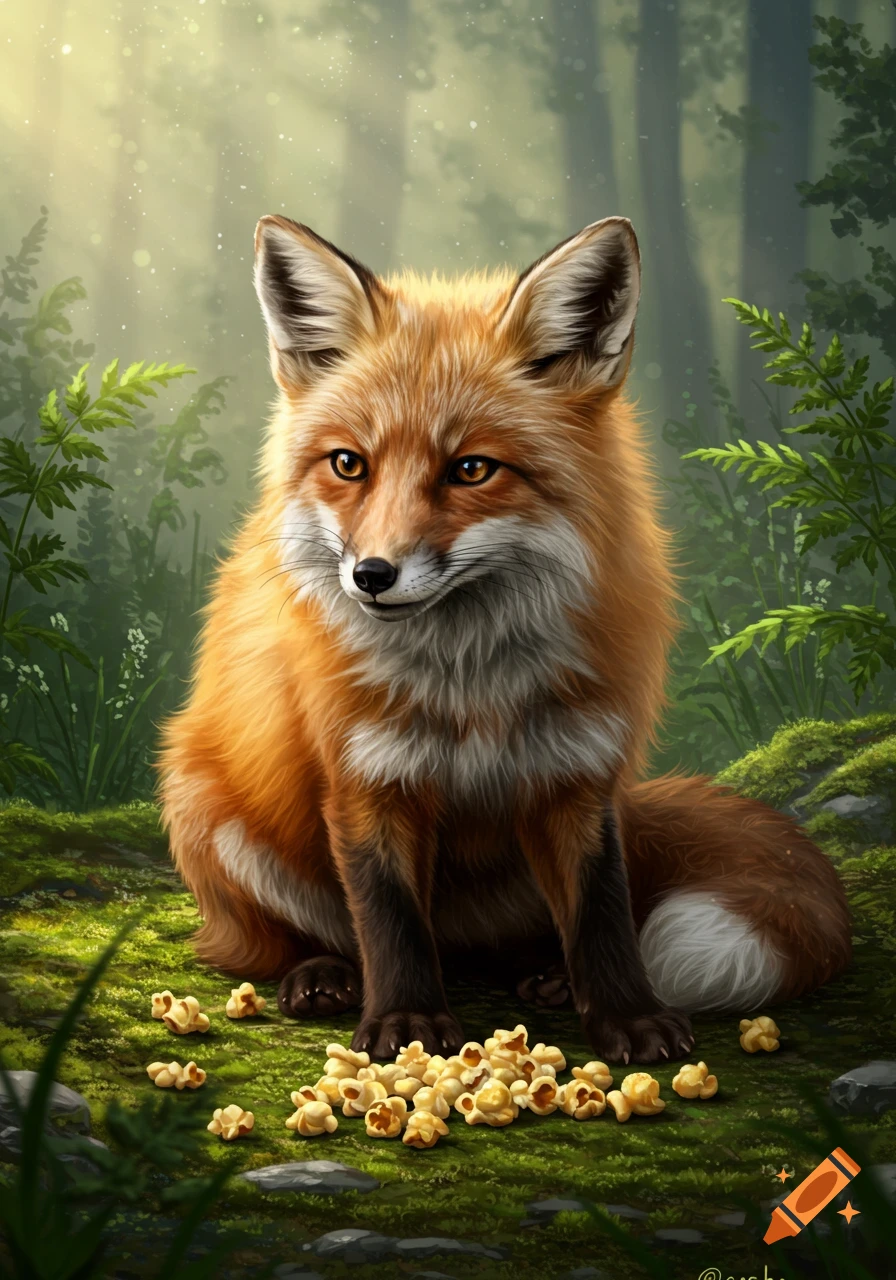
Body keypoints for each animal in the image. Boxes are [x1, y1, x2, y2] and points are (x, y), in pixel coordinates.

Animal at [159, 212, 852, 1065]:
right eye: (349, 464)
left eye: (471, 469)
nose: (371, 575)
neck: (471, 685)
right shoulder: (364, 777)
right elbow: (389, 919)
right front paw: (407, 1024)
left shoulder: (579, 771)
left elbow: (600, 913)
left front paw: (628, 1018)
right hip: (206, 803)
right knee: (295, 938)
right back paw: (322, 972)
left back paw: (543, 974)